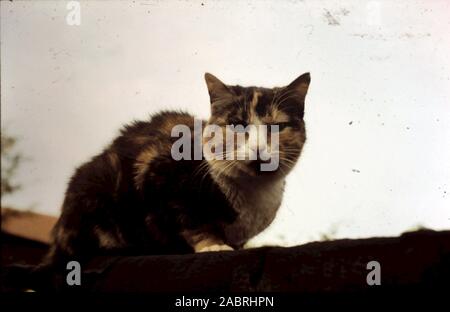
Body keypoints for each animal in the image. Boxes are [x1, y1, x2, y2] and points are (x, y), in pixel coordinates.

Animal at [41, 71, 310, 268]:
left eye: (278, 127)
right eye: (237, 125)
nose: (257, 147)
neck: (252, 196)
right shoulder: (160, 177)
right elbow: (191, 222)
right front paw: (213, 245)